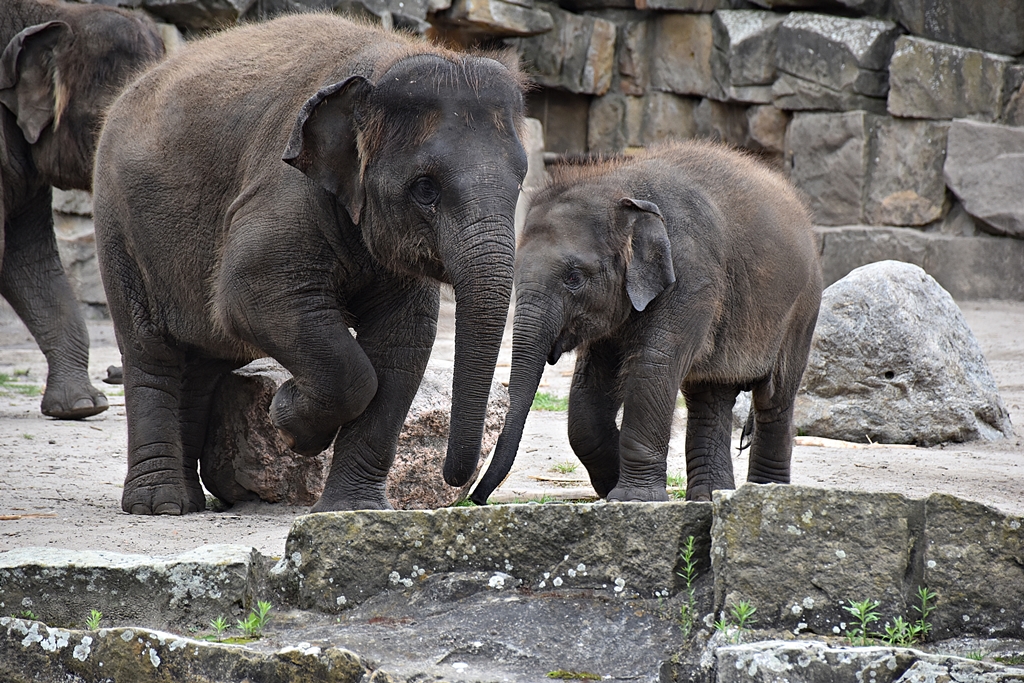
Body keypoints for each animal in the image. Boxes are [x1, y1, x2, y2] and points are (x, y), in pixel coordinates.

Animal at [92, 14, 528, 515]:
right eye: (425, 188)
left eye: (521, 182)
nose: (462, 485)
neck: (386, 61)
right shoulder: (284, 190)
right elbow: (250, 298)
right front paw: (288, 422)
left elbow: (403, 340)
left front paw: (353, 510)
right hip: (118, 223)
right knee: (150, 350)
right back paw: (159, 505)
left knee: (201, 359)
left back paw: (187, 500)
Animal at [471, 140, 823, 504]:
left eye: (573, 278)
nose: (476, 498)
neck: (619, 185)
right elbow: (590, 382)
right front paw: (614, 486)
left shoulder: (691, 276)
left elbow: (653, 366)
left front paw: (632, 499)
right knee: (710, 395)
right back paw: (711, 496)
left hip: (802, 307)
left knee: (775, 398)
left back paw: (766, 492)